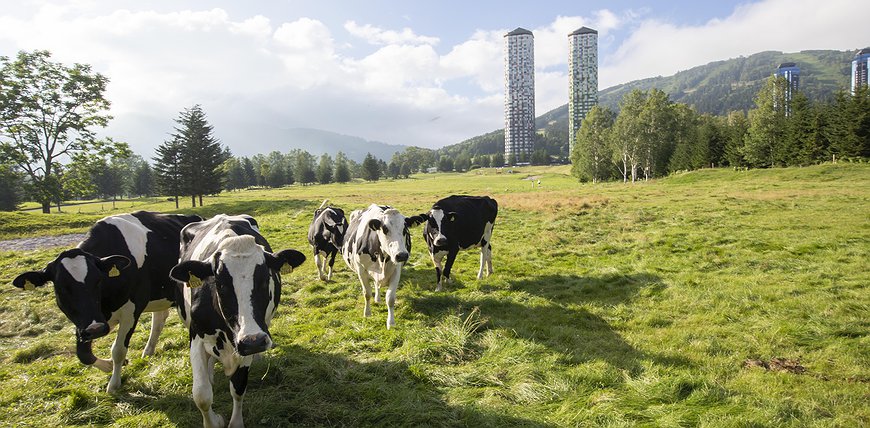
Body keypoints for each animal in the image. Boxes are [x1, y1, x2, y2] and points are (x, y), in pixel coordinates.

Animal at [12, 211, 204, 392]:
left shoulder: (130, 311)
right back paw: (148, 352)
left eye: (98, 281)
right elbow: (83, 354)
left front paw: (114, 383)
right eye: (61, 288)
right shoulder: (84, 321)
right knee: (159, 318)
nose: (96, 329)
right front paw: (108, 365)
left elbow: (118, 350)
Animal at [169, 214, 306, 428]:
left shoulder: (245, 344)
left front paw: (236, 422)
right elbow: (201, 394)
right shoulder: (197, 338)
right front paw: (214, 421)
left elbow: (239, 387)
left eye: (265, 279)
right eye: (220, 284)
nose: (255, 342)